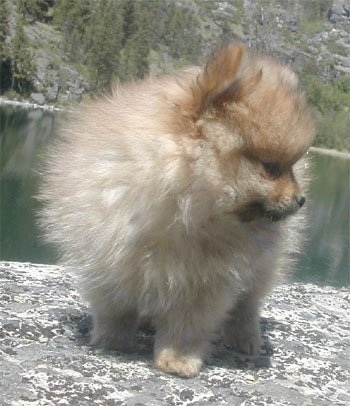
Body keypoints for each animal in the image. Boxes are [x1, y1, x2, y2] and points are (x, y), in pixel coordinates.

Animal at [38, 43, 314, 378]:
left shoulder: (204, 282)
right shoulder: (108, 257)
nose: (300, 199)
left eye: (290, 167)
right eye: (271, 168)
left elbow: (188, 325)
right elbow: (115, 307)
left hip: (264, 264)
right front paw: (112, 340)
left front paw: (178, 359)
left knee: (248, 303)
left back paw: (245, 338)